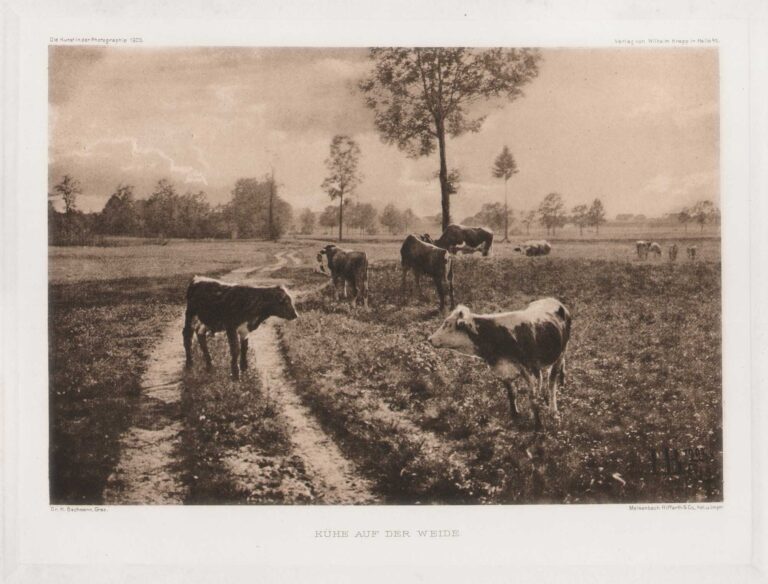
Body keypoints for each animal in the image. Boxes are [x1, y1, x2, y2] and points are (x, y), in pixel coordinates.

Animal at [428, 298, 572, 426]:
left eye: (447, 324)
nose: (430, 339)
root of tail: (553, 300)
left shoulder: (530, 370)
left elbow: (533, 399)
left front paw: (538, 425)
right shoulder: (503, 371)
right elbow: (511, 393)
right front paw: (515, 414)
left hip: (561, 352)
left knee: (552, 382)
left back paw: (553, 410)